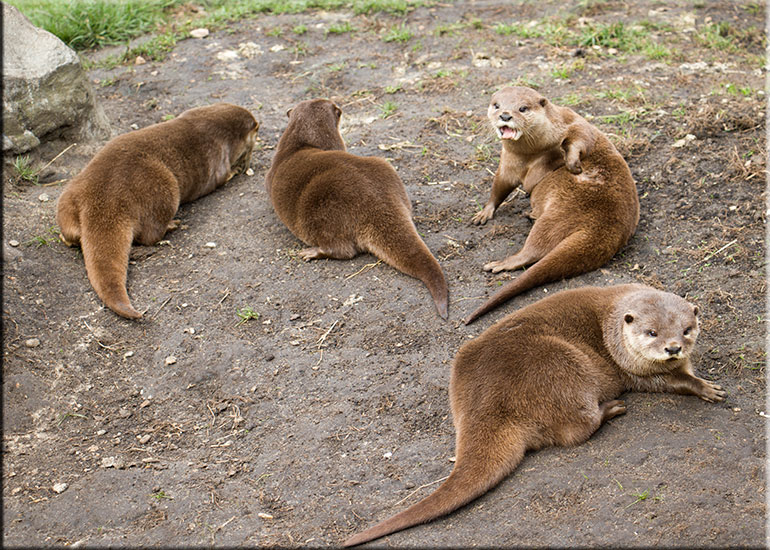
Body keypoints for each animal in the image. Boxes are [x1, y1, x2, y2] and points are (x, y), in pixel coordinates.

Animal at [56, 103, 259, 319]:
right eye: (256, 135)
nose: (247, 161)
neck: (213, 126)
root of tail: (106, 201)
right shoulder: (218, 159)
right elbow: (223, 177)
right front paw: (236, 170)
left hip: (68, 198)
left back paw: (66, 238)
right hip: (166, 191)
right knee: (150, 235)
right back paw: (173, 225)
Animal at [265, 98, 448, 318]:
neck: (300, 143)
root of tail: (374, 199)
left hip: (322, 213)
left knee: (342, 249)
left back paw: (311, 252)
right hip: (384, 166)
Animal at [344, 284, 725, 546]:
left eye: (686, 329)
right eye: (652, 333)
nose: (673, 347)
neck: (612, 322)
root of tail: (485, 402)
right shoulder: (633, 368)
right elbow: (672, 382)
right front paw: (705, 388)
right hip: (564, 368)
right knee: (576, 430)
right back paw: (611, 408)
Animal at [465, 86, 639, 324]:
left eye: (522, 108)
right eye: (497, 105)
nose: (505, 115)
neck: (531, 152)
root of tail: (608, 227)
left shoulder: (570, 120)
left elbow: (583, 135)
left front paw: (572, 163)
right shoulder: (508, 163)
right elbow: (499, 187)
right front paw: (484, 212)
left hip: (557, 216)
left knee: (533, 251)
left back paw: (502, 263)